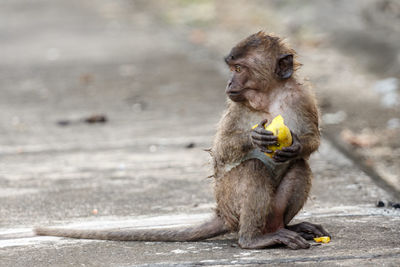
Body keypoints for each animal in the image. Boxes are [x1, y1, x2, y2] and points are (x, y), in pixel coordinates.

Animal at [34, 32, 330, 250]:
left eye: (239, 68)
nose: (229, 83)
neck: (269, 97)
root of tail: (224, 214)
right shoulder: (237, 107)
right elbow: (222, 152)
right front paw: (253, 136)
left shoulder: (301, 97)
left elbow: (312, 140)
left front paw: (295, 146)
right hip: (229, 199)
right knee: (253, 169)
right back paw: (254, 240)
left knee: (299, 165)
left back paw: (284, 226)